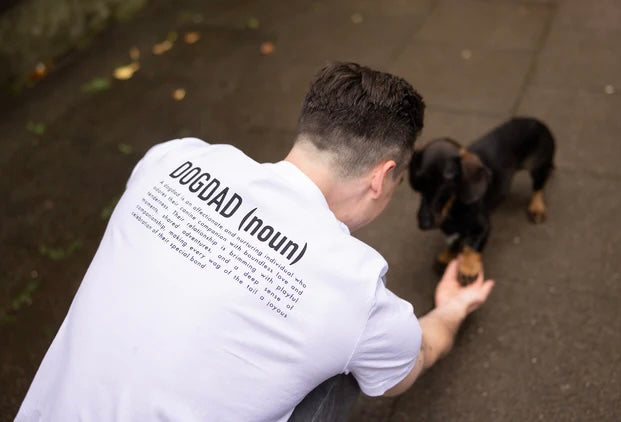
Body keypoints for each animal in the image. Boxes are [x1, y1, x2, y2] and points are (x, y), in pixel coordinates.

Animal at [410, 117, 556, 286]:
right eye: (418, 185)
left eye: (445, 185)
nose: (423, 223)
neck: (454, 207)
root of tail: (537, 122)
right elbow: (454, 242)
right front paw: (447, 256)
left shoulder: (483, 227)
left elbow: (471, 247)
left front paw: (468, 267)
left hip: (538, 166)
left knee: (538, 188)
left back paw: (537, 208)